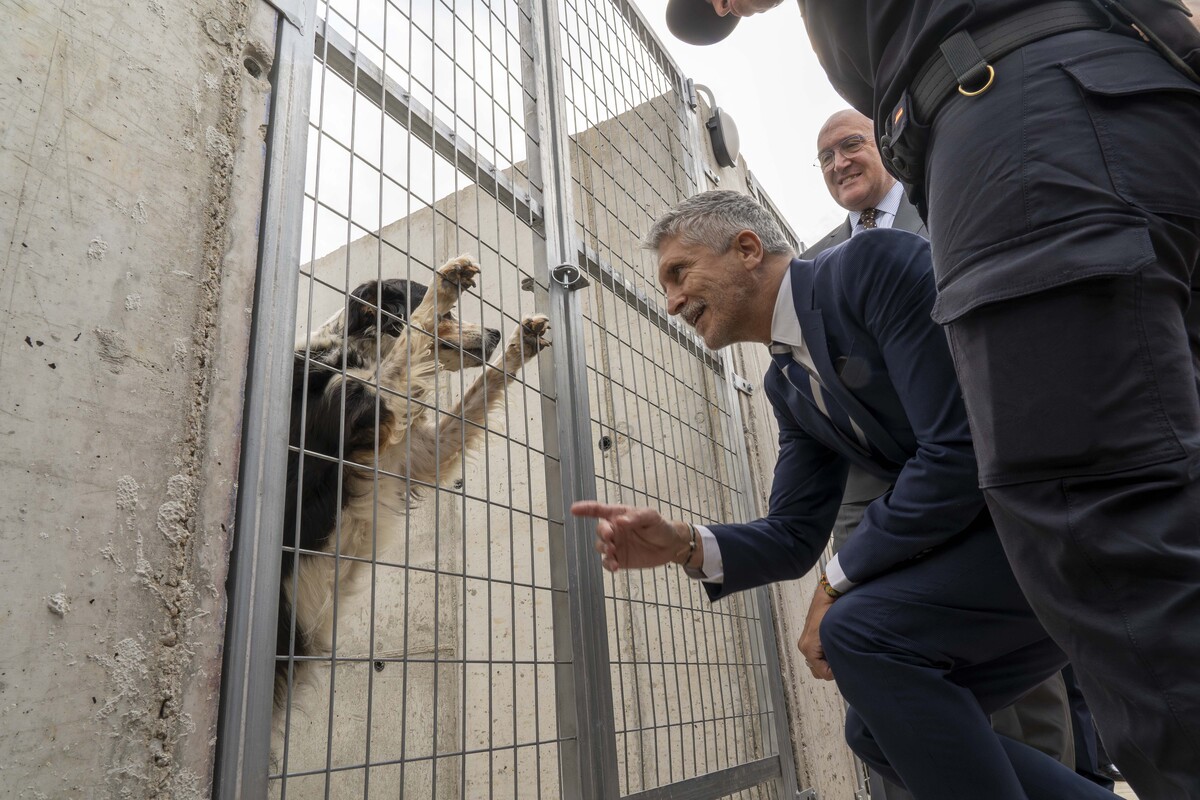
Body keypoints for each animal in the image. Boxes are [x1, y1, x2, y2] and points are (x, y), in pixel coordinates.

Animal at [274, 255, 549, 705]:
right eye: (450, 316)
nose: (494, 332)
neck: (354, 353)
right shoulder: (365, 405)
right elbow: (412, 332)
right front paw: (445, 283)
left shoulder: (414, 456)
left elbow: (479, 387)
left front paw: (518, 346)